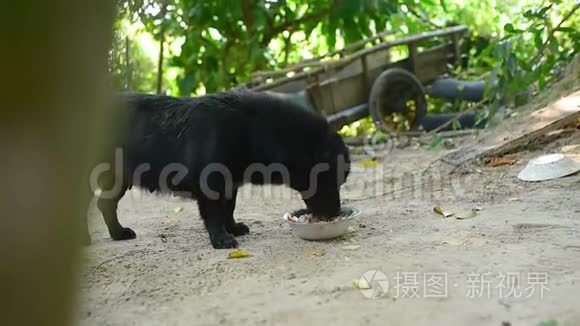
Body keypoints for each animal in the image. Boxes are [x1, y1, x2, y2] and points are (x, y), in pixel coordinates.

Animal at [90, 88, 352, 247]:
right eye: (331, 178)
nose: (335, 214)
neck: (252, 128)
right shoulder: (211, 185)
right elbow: (215, 213)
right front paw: (221, 239)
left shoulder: (230, 184)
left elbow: (229, 208)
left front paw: (233, 228)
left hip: (118, 179)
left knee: (104, 203)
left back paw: (118, 233)